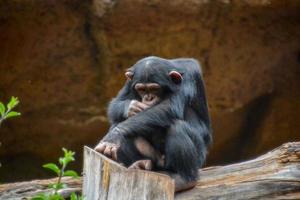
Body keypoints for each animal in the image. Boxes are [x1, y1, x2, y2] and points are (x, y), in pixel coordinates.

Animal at [95, 56, 212, 192]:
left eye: (154, 88)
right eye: (141, 89)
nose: (148, 97)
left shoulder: (189, 75)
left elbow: (169, 107)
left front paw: (114, 135)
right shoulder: (130, 81)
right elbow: (116, 103)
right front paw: (131, 107)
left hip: (198, 158)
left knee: (177, 127)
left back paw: (184, 179)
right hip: (156, 160)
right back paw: (141, 164)